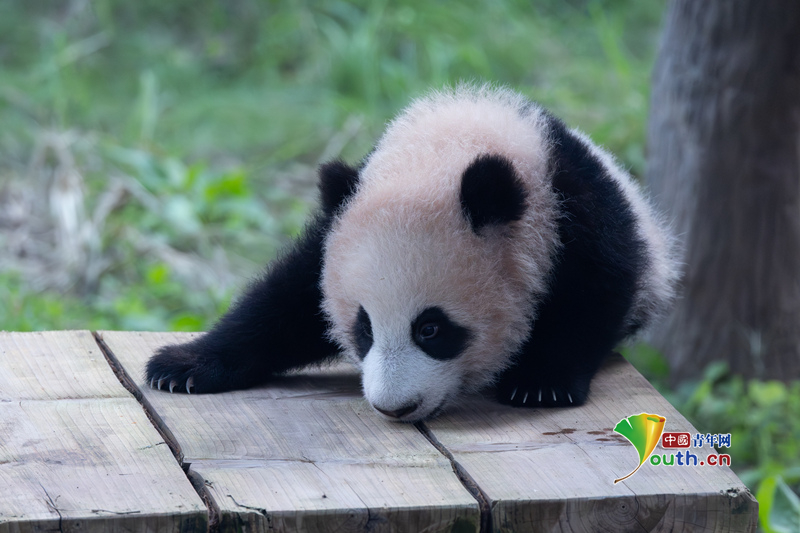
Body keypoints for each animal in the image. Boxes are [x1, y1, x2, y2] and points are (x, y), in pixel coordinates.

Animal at [146, 85, 678, 422]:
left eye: (431, 329)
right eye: (363, 328)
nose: (394, 408)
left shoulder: (571, 202)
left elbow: (596, 285)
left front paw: (542, 381)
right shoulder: (343, 219)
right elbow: (288, 301)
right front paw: (181, 367)